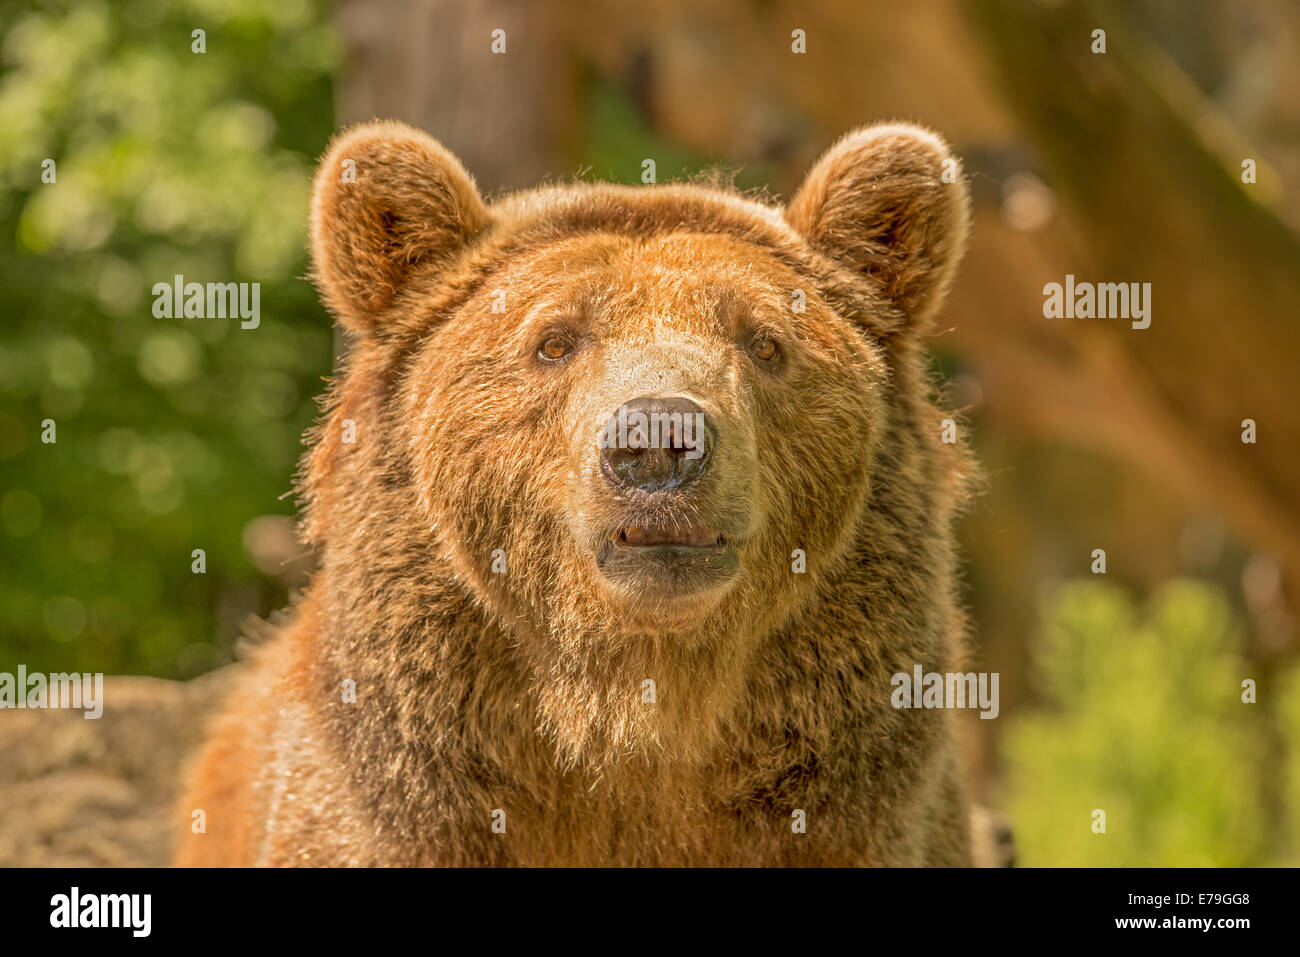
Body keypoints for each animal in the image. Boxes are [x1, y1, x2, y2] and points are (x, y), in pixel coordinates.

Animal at [175, 117, 977, 868]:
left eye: (764, 341)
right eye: (554, 340)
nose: (657, 441)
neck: (633, 707)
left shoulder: (855, 822)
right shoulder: (398, 811)